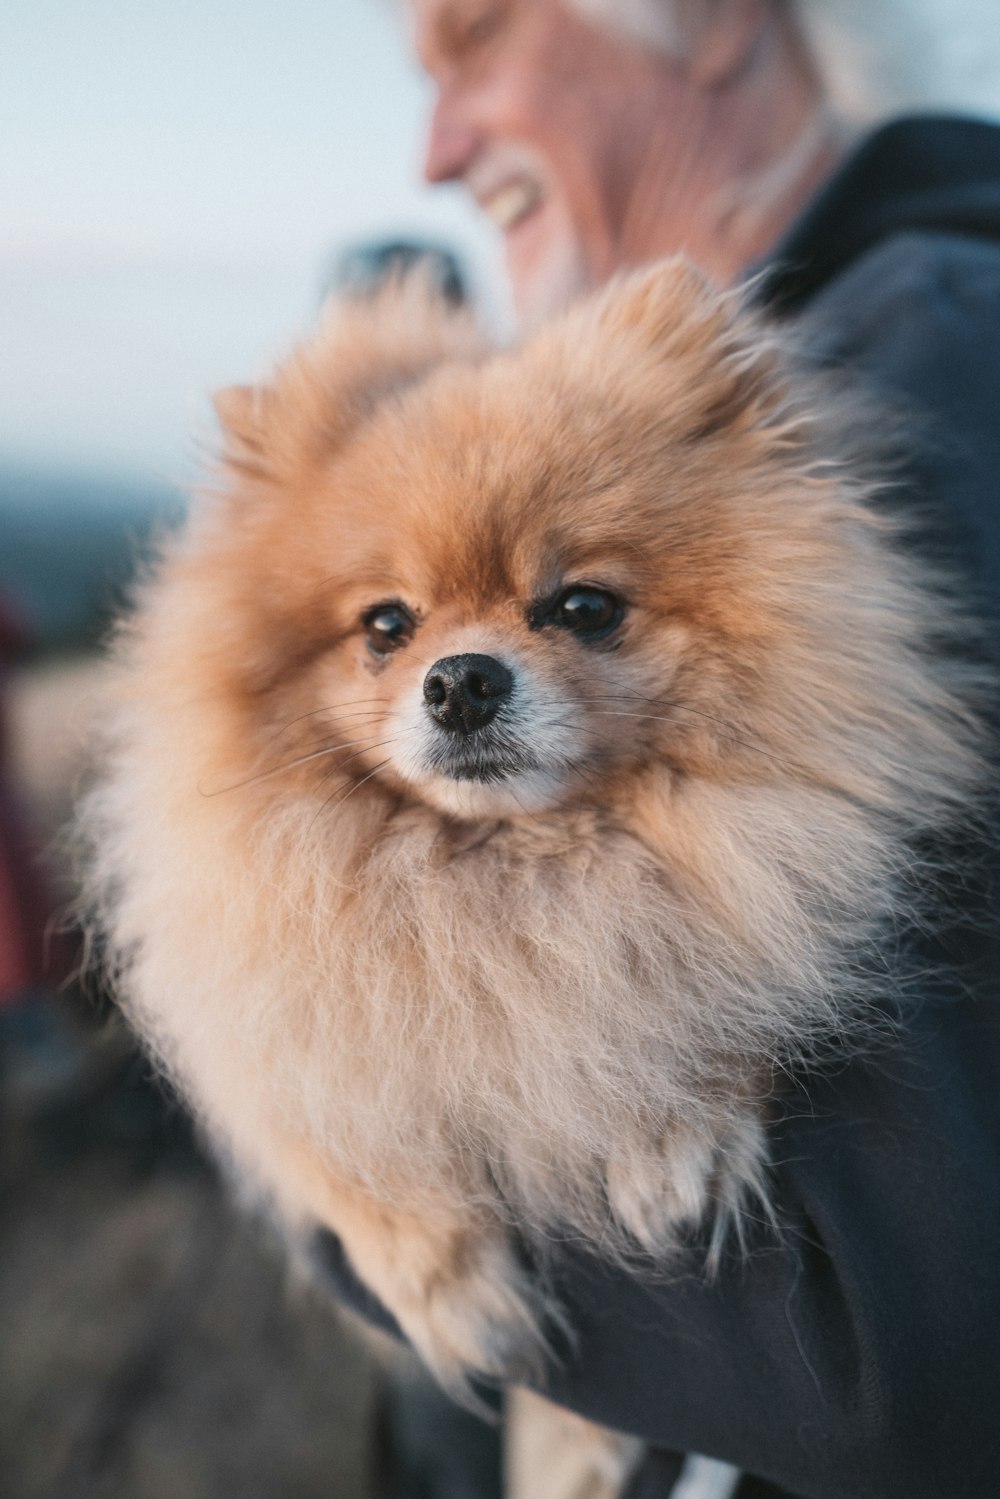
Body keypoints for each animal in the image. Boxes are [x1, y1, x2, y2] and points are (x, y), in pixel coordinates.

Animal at [83, 254, 983, 1403]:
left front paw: (669, 1129)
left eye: (584, 606)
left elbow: (686, 991)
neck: (515, 870)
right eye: (386, 624)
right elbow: (337, 1144)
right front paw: (449, 1285)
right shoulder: (277, 1035)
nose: (461, 679)